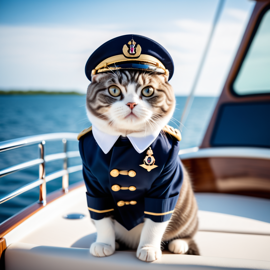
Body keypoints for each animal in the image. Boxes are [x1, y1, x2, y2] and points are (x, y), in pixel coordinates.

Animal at [80, 69, 198, 262]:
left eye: (148, 90)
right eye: (114, 90)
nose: (131, 103)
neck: (126, 140)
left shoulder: (167, 182)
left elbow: (156, 219)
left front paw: (148, 248)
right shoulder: (93, 182)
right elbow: (101, 214)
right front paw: (104, 243)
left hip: (188, 214)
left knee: (188, 232)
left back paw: (179, 244)